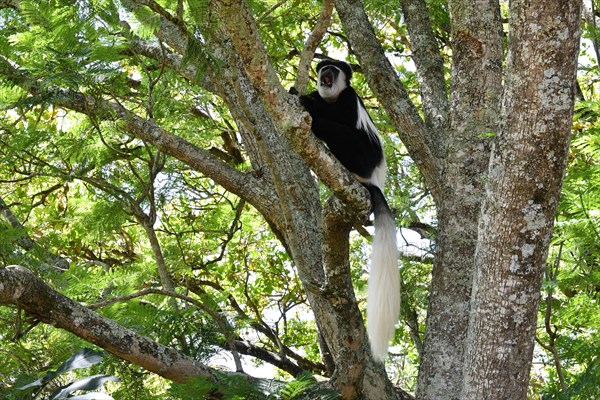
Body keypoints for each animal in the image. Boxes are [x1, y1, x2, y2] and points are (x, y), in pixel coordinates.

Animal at [294, 60, 398, 362]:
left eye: (334, 69)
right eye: (324, 67)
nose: (326, 70)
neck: (330, 100)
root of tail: (371, 182)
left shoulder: (350, 99)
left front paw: (307, 102)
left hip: (363, 156)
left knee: (348, 136)